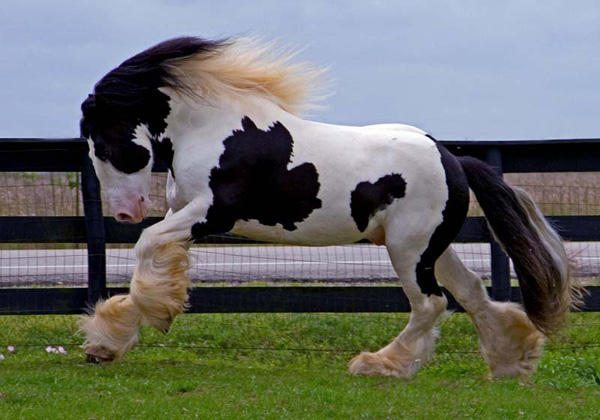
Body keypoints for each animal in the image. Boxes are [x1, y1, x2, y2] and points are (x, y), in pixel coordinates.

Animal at [77, 36, 580, 378]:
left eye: (102, 143)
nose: (126, 211)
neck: (218, 131)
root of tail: (452, 158)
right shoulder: (182, 216)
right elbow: (153, 263)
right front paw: (108, 343)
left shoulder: (211, 214)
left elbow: (146, 246)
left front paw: (138, 324)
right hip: (431, 247)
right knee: (472, 292)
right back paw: (512, 362)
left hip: (408, 250)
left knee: (431, 304)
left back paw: (379, 365)